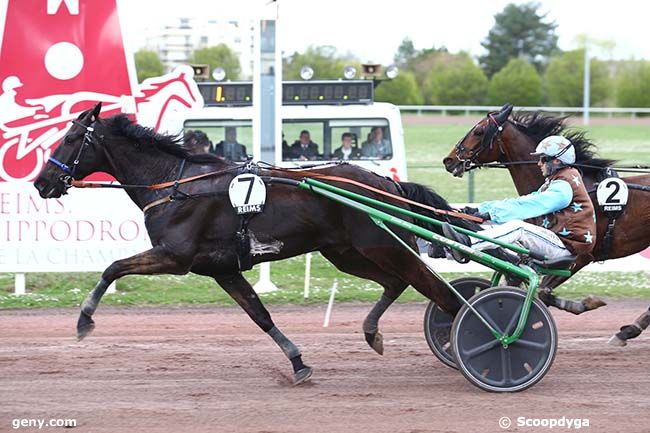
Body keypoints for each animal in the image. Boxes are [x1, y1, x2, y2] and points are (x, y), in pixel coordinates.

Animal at [34, 102, 476, 384]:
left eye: (71, 137)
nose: (41, 182)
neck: (174, 185)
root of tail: (387, 182)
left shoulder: (174, 256)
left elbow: (112, 268)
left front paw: (84, 320)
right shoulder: (222, 269)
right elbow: (260, 315)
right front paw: (298, 364)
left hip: (383, 247)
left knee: (436, 289)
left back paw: (472, 338)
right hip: (346, 254)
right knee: (398, 283)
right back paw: (375, 332)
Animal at [440, 104, 648, 344]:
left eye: (479, 131)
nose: (449, 160)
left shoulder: (578, 257)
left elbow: (541, 292)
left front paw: (584, 303)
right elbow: (514, 280)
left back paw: (630, 329)